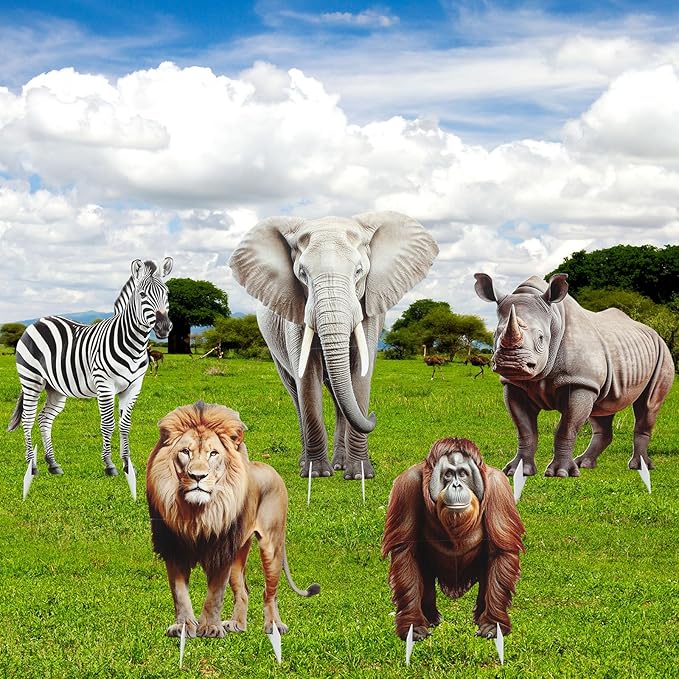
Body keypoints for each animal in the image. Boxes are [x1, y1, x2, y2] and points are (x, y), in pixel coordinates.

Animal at [7, 257, 173, 484]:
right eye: (142, 294)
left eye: (167, 294)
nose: (164, 327)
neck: (134, 344)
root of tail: (39, 321)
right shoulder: (105, 385)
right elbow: (108, 424)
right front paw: (109, 465)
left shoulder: (133, 387)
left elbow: (125, 425)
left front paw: (127, 465)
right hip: (31, 380)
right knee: (28, 418)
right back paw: (32, 466)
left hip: (55, 388)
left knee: (44, 418)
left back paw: (53, 464)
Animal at [146, 401, 320, 638]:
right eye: (185, 452)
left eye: (213, 453)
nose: (197, 476)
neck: (197, 513)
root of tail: (271, 469)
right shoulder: (174, 548)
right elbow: (179, 593)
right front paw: (183, 627)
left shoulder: (222, 550)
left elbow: (214, 594)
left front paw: (210, 628)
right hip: (239, 551)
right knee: (244, 590)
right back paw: (237, 624)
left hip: (271, 545)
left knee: (270, 591)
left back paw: (274, 625)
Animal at [229, 211, 439, 479]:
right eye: (302, 274)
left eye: (359, 272)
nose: (372, 416)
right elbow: (307, 377)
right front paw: (317, 473)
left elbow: (360, 374)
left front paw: (359, 475)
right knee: (296, 393)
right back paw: (307, 462)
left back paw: (340, 464)